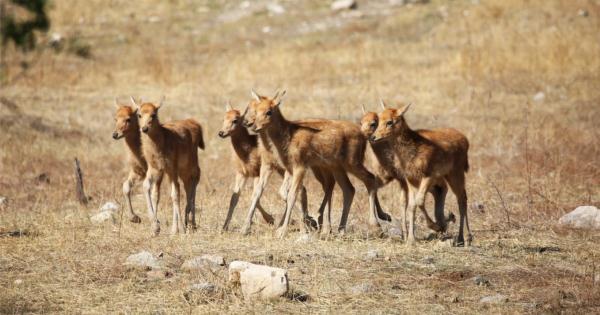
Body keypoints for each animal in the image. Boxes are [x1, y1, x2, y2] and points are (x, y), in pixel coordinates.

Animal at [132, 97, 205, 236]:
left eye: (153, 114)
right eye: (139, 114)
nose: (144, 128)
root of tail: (196, 124)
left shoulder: (172, 168)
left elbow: (175, 195)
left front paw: (181, 229)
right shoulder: (155, 169)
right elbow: (149, 189)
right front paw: (155, 227)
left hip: (190, 164)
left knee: (194, 180)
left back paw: (190, 223)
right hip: (179, 171)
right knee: (187, 186)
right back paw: (182, 225)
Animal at [243, 90, 380, 238]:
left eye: (269, 111)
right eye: (256, 110)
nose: (252, 125)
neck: (287, 137)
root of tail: (363, 135)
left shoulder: (300, 166)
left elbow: (292, 195)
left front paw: (284, 230)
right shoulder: (283, 167)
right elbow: (263, 192)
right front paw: (246, 228)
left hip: (352, 162)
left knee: (370, 178)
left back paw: (375, 225)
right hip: (336, 166)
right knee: (348, 189)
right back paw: (340, 229)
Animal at [360, 105, 454, 236]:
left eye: (374, 123)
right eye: (361, 121)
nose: (371, 137)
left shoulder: (403, 180)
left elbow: (404, 202)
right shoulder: (387, 178)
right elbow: (373, 189)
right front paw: (382, 220)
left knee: (440, 188)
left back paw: (441, 224)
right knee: (437, 191)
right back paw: (443, 223)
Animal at [370, 102, 474, 247]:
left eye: (390, 121)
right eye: (378, 120)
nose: (373, 137)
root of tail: (465, 140)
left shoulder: (428, 176)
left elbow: (419, 201)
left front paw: (437, 226)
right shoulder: (411, 179)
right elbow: (412, 205)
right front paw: (411, 239)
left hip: (456, 173)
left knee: (462, 199)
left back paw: (464, 238)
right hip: (448, 175)